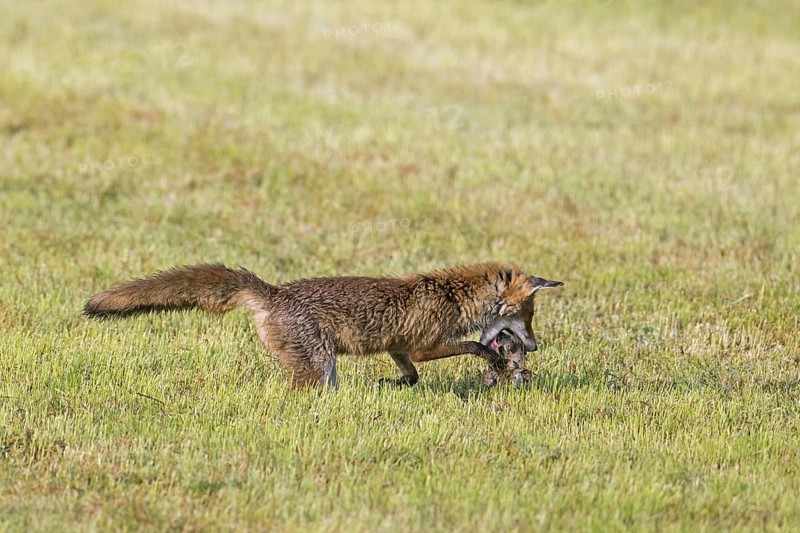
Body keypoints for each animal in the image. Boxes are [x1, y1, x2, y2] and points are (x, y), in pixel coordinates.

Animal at [83, 263, 563, 389]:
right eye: (527, 317)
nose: (533, 349)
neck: (452, 295)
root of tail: (274, 292)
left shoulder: (398, 346)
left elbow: (411, 374)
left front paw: (395, 385)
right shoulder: (424, 343)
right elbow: (471, 346)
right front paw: (492, 363)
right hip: (319, 365)